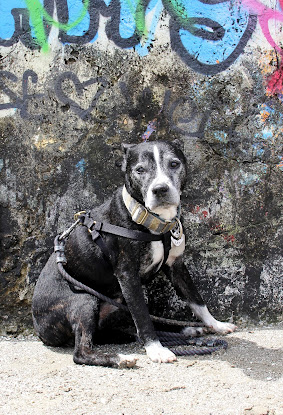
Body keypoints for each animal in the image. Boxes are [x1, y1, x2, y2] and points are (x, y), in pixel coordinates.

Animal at [32, 141, 236, 368]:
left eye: (174, 164)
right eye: (140, 170)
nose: (160, 189)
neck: (153, 220)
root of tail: (40, 330)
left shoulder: (176, 266)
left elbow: (196, 300)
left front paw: (216, 324)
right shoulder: (128, 276)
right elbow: (143, 316)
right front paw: (156, 350)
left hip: (116, 306)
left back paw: (188, 329)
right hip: (84, 301)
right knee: (81, 352)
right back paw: (121, 358)